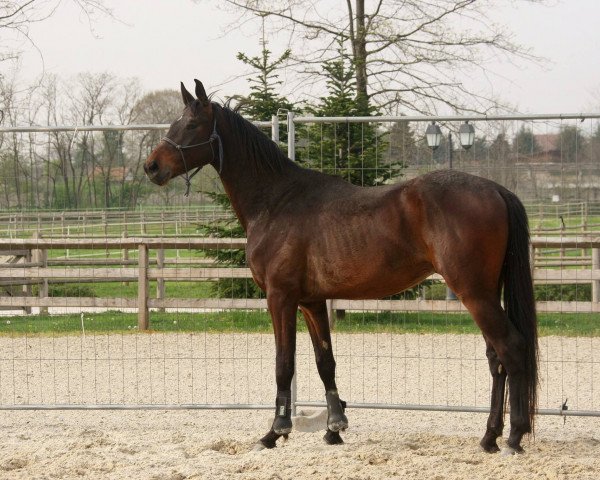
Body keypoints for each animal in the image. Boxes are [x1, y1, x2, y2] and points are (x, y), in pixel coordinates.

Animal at [145, 79, 540, 454]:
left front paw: (275, 432)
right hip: (484, 293)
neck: (276, 201)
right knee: (496, 358)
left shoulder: (280, 298)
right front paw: (335, 427)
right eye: (175, 122)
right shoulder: (312, 302)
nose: (152, 167)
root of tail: (496, 190)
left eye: (192, 124)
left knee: (511, 349)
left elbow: (284, 364)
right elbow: (325, 362)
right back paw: (489, 437)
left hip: (473, 293)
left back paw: (513, 437)